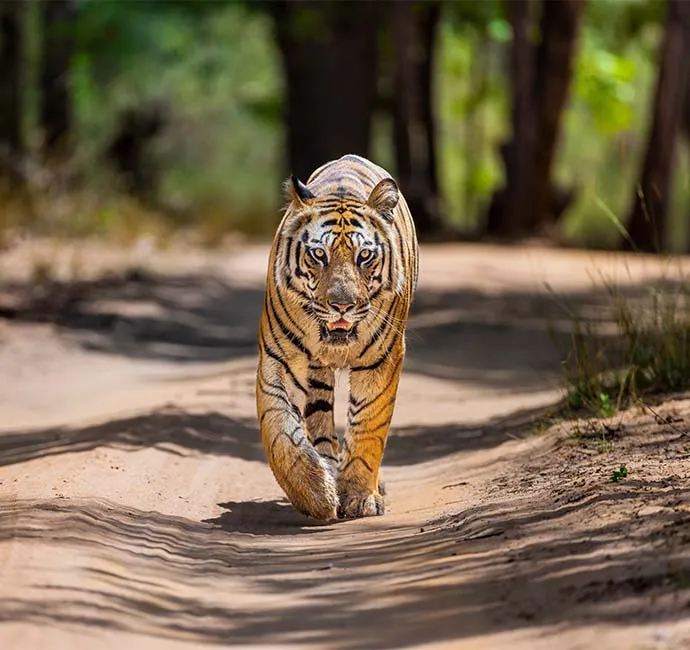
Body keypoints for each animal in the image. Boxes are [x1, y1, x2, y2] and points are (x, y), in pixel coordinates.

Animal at [256, 154, 418, 520]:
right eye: (319, 255)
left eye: (364, 256)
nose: (342, 305)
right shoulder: (277, 358)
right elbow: (278, 429)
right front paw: (315, 493)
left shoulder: (382, 360)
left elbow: (369, 426)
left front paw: (359, 496)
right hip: (315, 373)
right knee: (318, 422)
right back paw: (327, 471)